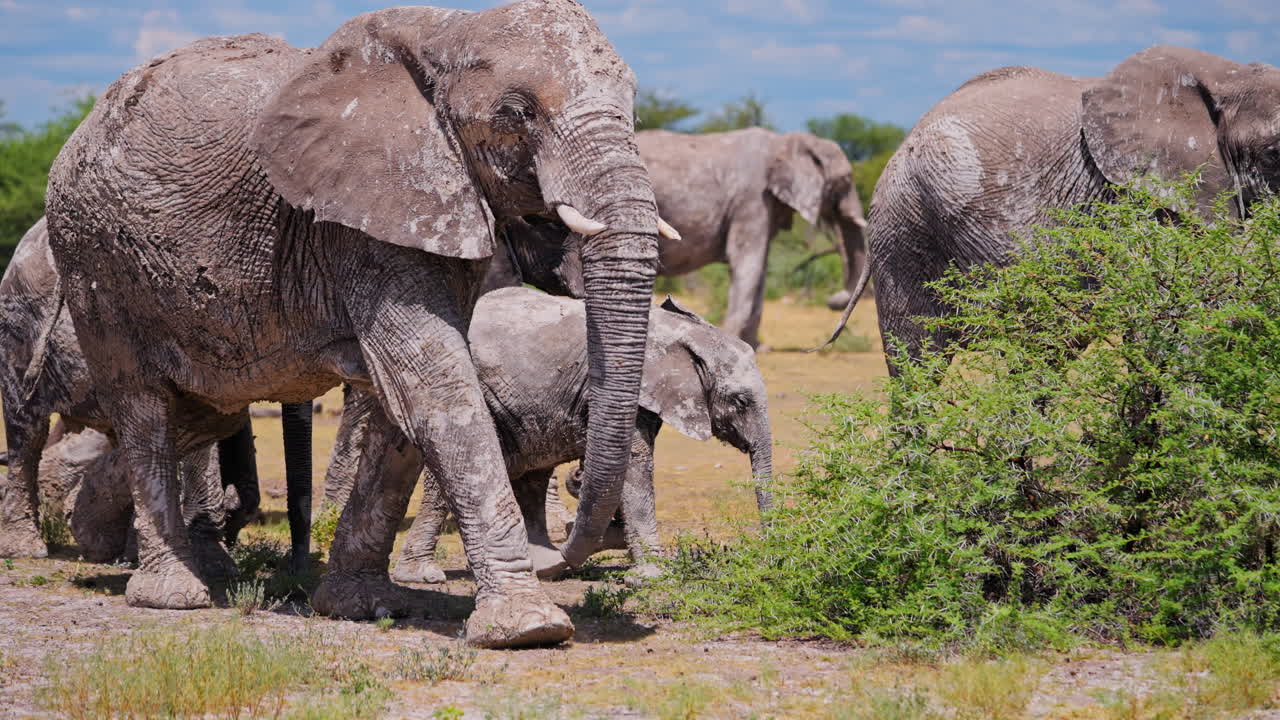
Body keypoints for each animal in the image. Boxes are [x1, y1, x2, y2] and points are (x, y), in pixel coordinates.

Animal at [35, 0, 668, 648]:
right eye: (516, 113)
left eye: (633, 106)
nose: (563, 556)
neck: (450, 30)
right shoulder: (364, 219)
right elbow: (433, 388)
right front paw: (527, 628)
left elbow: (399, 408)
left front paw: (359, 605)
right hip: (97, 262)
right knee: (144, 408)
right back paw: (171, 594)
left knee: (201, 413)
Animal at [322, 287, 774, 586]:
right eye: (738, 401)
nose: (767, 552)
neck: (685, 334)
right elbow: (634, 467)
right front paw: (649, 576)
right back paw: (424, 576)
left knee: (531, 474)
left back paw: (539, 562)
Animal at [637, 128, 870, 348]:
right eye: (845, 181)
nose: (833, 298)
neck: (782, 142)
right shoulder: (752, 198)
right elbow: (749, 264)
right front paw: (733, 340)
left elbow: (761, 271)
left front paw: (757, 347)